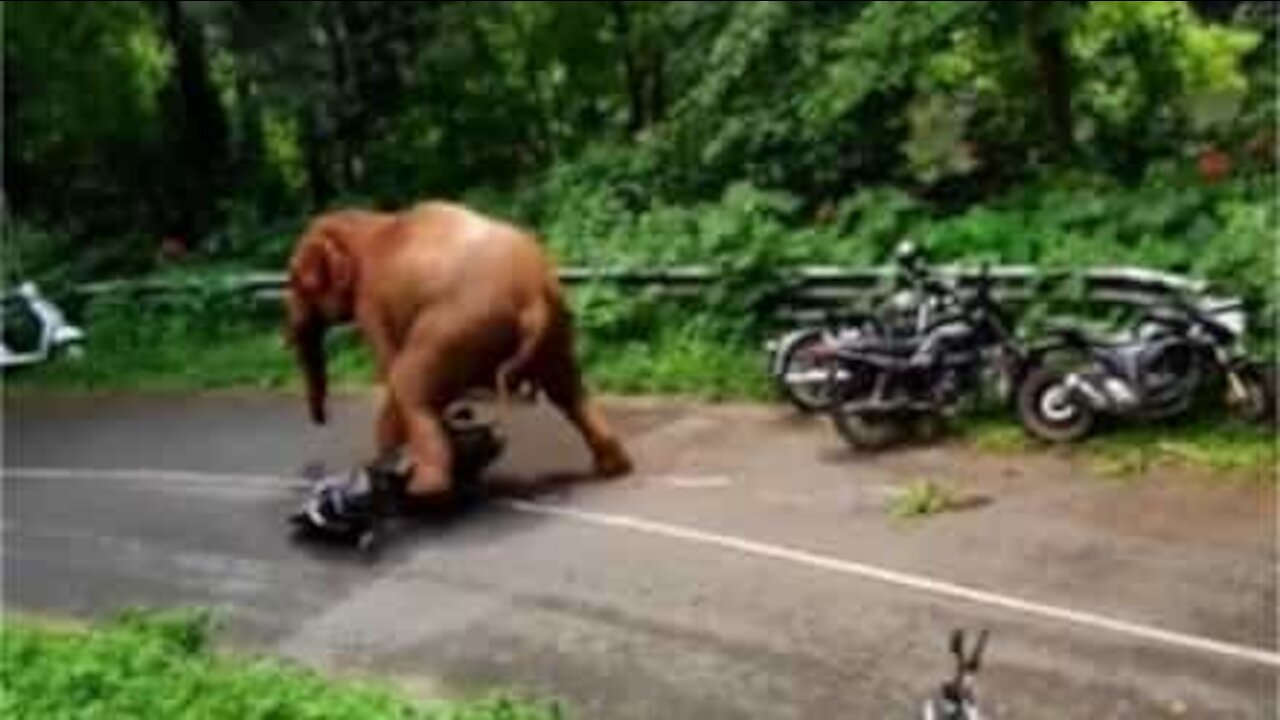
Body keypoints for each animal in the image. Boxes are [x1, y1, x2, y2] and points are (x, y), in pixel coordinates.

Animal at [285, 198, 634, 497]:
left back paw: (425, 489)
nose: (322, 420)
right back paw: (614, 468)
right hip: (555, 328)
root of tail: (532, 296)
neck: (366, 223)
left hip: (457, 325)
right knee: (569, 390)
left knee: (408, 381)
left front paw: (385, 465)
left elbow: (390, 369)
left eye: (296, 281)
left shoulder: (371, 301)